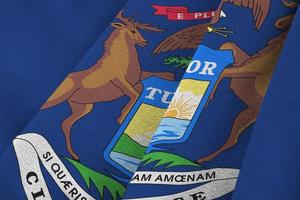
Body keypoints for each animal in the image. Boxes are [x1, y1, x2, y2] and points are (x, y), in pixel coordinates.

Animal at [41, 10, 175, 161]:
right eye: (132, 30)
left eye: (138, 30)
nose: (145, 42)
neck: (122, 59)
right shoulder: (119, 80)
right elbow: (135, 94)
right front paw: (121, 119)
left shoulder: (137, 79)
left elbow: (160, 77)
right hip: (61, 98)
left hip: (83, 107)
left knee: (65, 123)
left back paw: (74, 155)